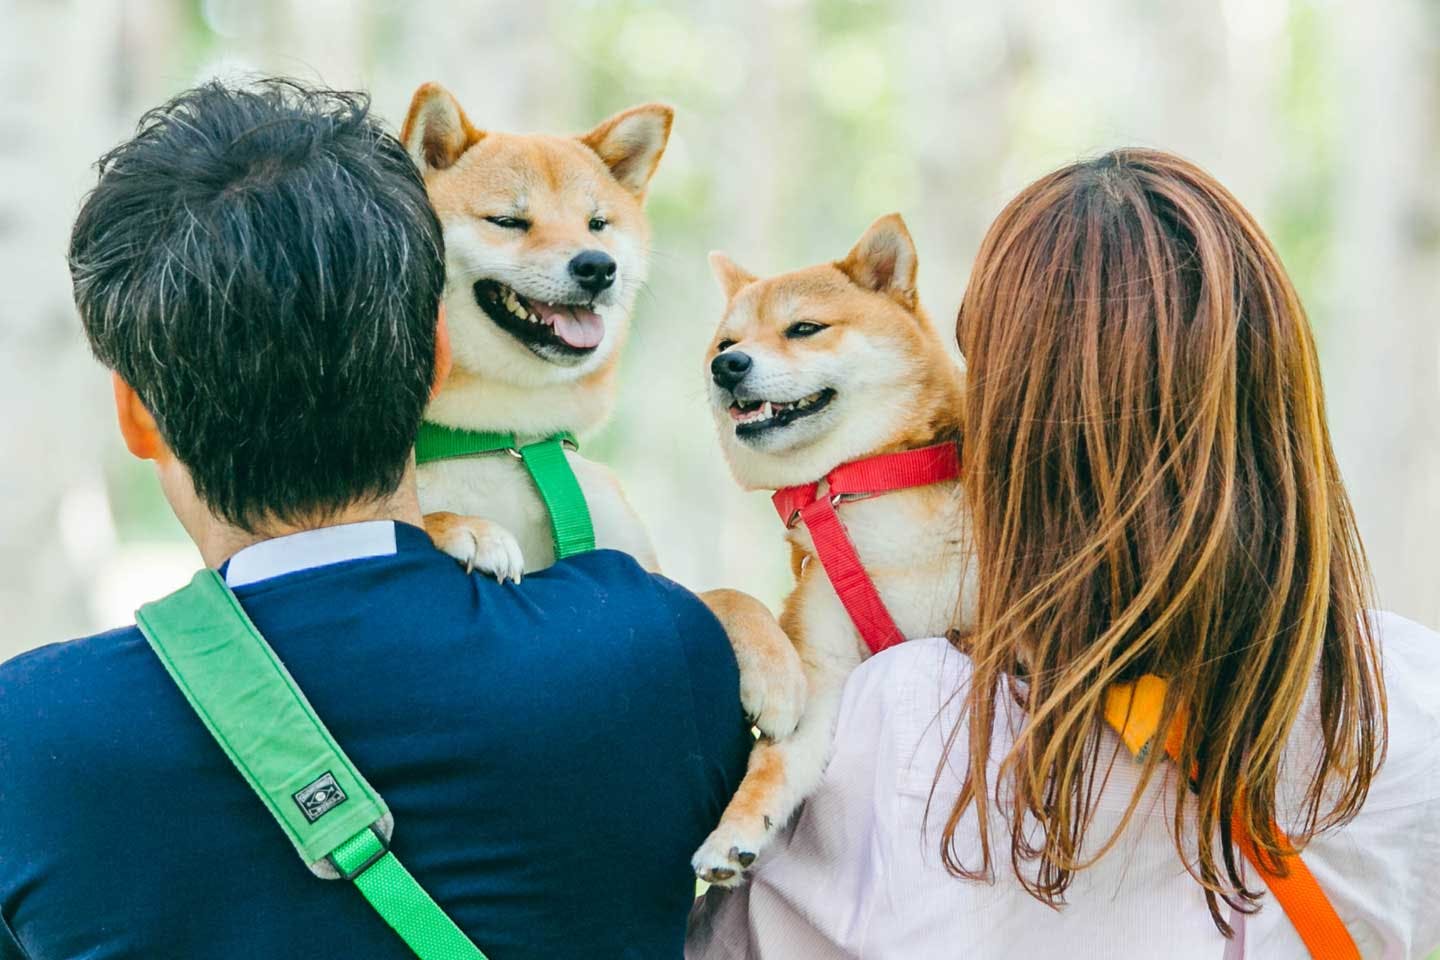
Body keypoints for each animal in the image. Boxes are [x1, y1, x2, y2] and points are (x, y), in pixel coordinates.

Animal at [688, 214, 979, 880]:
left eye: (804, 328)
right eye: (724, 343)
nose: (728, 367)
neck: (870, 487)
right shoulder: (823, 664)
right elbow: (776, 761)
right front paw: (736, 829)